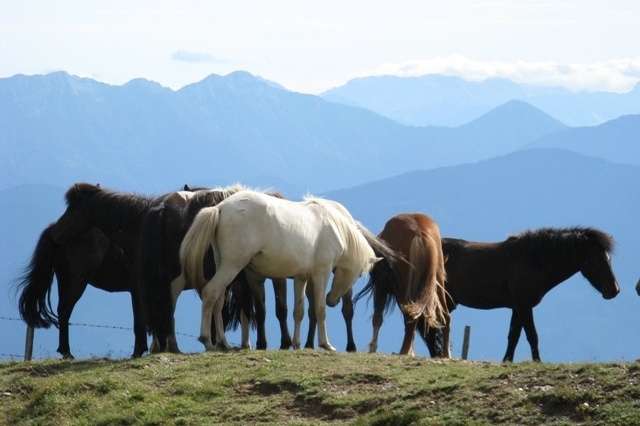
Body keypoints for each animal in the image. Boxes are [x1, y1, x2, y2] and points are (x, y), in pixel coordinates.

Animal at [14, 225, 144, 358]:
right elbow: (140, 322)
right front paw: (138, 352)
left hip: (64, 278)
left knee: (61, 309)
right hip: (79, 280)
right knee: (65, 309)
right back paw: (66, 352)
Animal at [179, 191, 380, 352]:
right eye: (359, 274)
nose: (333, 300)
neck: (334, 226)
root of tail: (220, 208)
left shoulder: (301, 278)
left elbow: (299, 311)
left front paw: (297, 344)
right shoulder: (320, 274)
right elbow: (320, 309)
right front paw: (325, 344)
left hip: (225, 264)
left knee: (219, 299)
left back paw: (223, 343)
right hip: (233, 264)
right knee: (211, 292)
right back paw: (208, 341)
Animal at [352, 213, 448, 356]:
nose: (437, 351)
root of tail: (421, 232)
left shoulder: (380, 288)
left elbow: (377, 317)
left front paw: (373, 347)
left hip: (404, 289)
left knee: (411, 318)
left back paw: (403, 351)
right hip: (437, 281)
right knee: (446, 317)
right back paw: (446, 353)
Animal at [418, 226, 616, 362]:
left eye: (608, 258)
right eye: (597, 259)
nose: (614, 290)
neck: (531, 261)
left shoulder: (518, 308)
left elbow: (513, 336)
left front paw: (507, 360)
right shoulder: (524, 306)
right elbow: (532, 335)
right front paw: (537, 362)